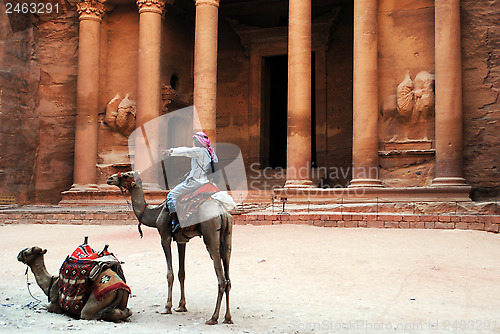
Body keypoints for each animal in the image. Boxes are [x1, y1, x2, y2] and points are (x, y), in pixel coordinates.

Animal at [107, 171, 232, 324]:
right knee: (228, 277)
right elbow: (181, 273)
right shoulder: (182, 240)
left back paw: (213, 318)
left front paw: (167, 307)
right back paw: (227, 318)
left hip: (210, 235)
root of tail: (222, 211)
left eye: (126, 175)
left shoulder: (164, 236)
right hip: (227, 238)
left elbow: (169, 274)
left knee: (221, 279)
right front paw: (181, 306)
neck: (156, 213)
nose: (110, 179)